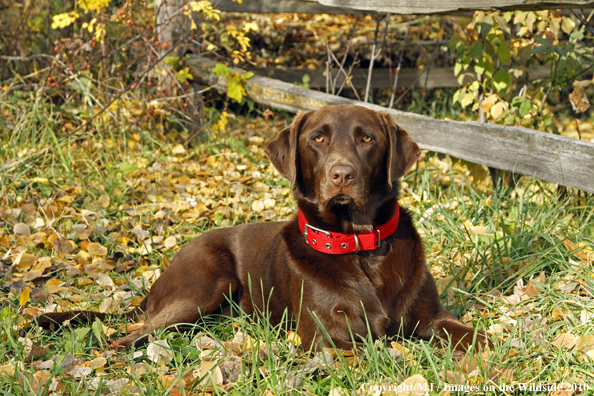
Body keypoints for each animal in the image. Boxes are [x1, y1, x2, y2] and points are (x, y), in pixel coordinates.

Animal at [39, 104, 488, 350]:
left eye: (367, 139)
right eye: (318, 139)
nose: (341, 175)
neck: (361, 247)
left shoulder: (432, 319)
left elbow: (480, 339)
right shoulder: (330, 336)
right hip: (202, 288)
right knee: (128, 335)